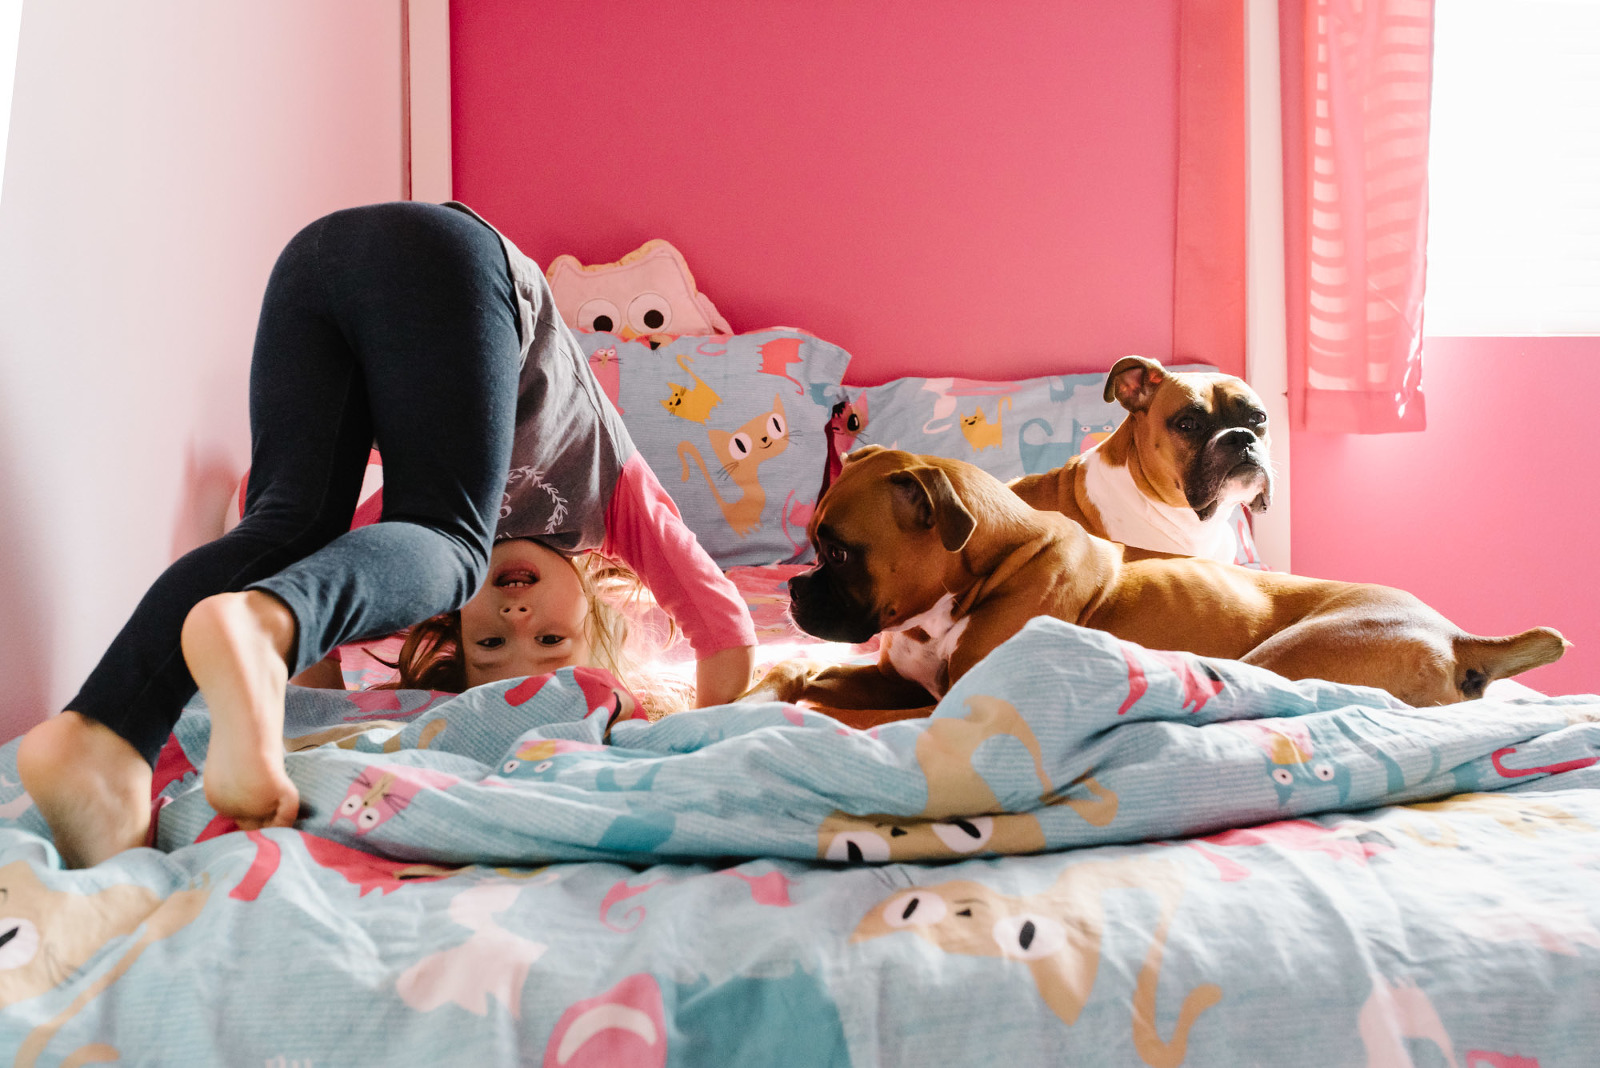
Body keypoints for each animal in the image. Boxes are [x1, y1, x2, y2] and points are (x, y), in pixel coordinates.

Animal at [755, 447, 1568, 729]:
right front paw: (780, 681)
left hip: (1283, 657)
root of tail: (1457, 635)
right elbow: (816, 678)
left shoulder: (939, 704)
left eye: (838, 550)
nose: (793, 591)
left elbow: (847, 714)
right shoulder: (894, 680)